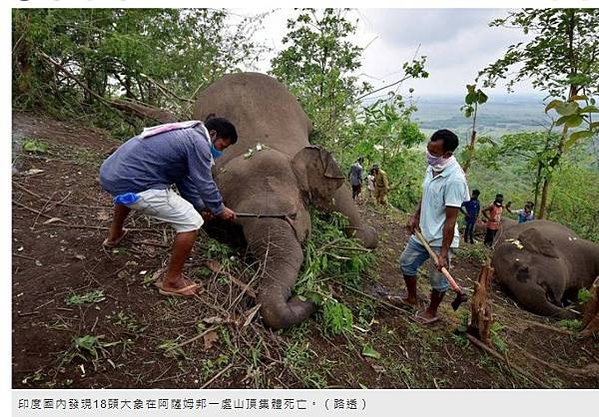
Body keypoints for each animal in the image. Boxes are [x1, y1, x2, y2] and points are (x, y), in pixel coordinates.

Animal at [195, 73, 378, 330]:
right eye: (239, 228)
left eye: (294, 214)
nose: (315, 296)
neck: (258, 147)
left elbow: (340, 197)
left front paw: (370, 237)